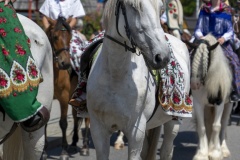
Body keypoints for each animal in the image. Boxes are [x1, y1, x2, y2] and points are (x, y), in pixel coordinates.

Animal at [43, 16, 91, 159]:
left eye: (70, 37)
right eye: (55, 37)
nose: (65, 63)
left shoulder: (64, 97)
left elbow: (63, 123)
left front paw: (63, 152)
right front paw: (44, 151)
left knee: (87, 118)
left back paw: (85, 147)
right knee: (76, 116)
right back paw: (74, 143)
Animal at [87, 0, 190, 159]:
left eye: (161, 8)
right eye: (134, 6)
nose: (162, 57)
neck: (115, 76)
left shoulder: (136, 132)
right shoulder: (98, 130)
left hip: (173, 121)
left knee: (166, 150)